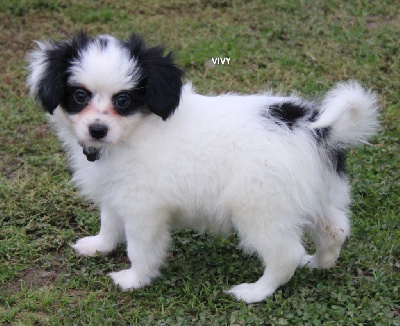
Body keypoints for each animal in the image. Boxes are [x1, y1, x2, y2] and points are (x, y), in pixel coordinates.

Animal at [27, 31, 378, 302]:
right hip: (319, 193)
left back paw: (255, 291)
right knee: (335, 229)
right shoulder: (117, 191)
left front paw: (135, 279)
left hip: (259, 206)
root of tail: (314, 128)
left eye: (123, 101)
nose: (97, 130)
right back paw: (318, 262)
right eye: (79, 95)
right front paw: (99, 246)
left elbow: (140, 247)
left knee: (284, 254)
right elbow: (110, 223)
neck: (136, 131)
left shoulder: (144, 208)